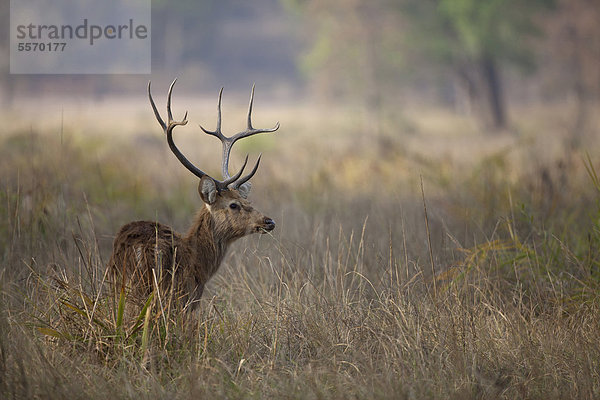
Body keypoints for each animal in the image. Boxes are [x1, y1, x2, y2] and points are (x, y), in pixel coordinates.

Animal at [108, 78, 278, 310]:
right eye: (233, 205)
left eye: (247, 200)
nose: (269, 221)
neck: (199, 261)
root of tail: (137, 249)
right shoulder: (186, 299)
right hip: (156, 290)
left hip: (118, 286)